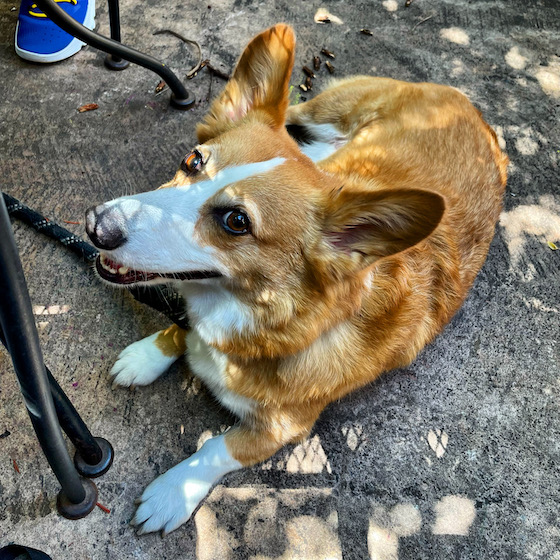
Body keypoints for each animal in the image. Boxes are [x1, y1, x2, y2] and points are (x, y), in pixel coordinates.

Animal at [83, 24, 508, 536]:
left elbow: (215, 448)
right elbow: (179, 327)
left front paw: (171, 493)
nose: (96, 225)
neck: (261, 315)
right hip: (324, 110)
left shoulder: (282, 430)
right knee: (297, 119)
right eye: (192, 161)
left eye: (237, 221)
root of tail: (472, 109)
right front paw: (148, 355)